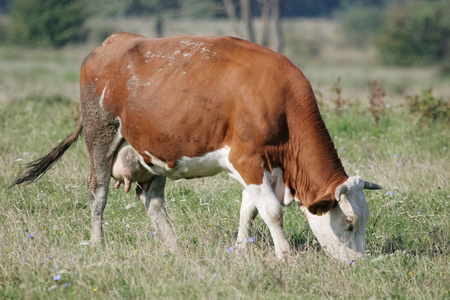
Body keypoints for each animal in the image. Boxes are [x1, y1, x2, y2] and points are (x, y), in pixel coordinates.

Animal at [12, 32, 382, 262]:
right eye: (350, 223)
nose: (358, 263)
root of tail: (113, 41)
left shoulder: (257, 165)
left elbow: (249, 209)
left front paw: (242, 251)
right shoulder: (247, 159)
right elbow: (273, 212)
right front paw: (285, 256)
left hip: (151, 153)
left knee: (153, 202)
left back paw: (174, 248)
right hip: (100, 134)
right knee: (98, 192)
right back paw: (98, 241)